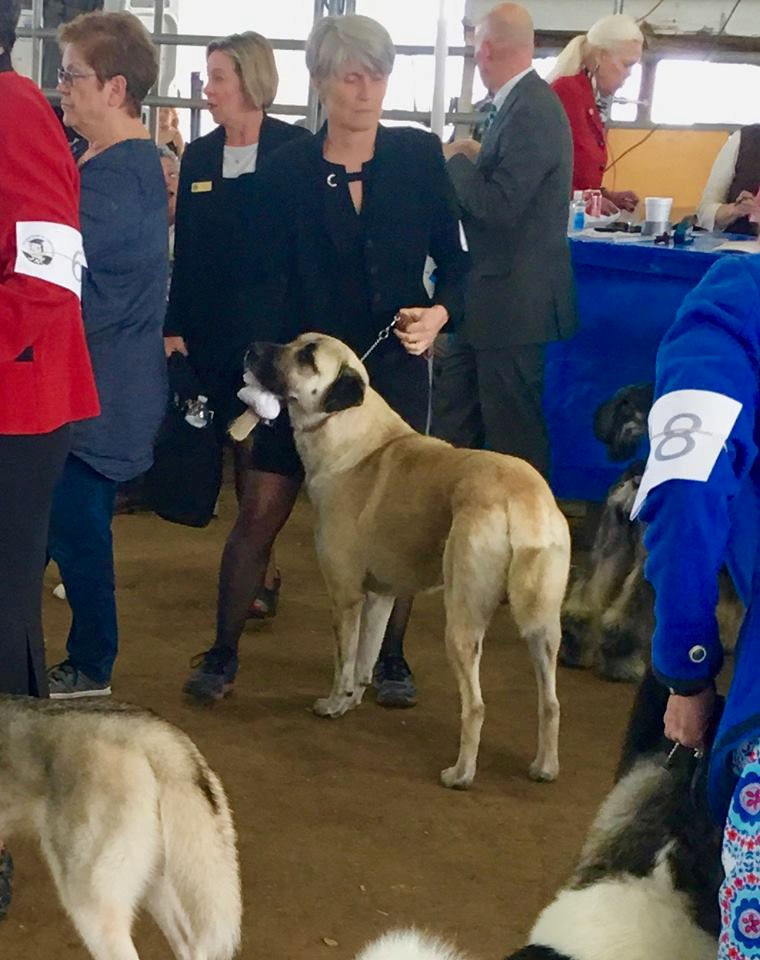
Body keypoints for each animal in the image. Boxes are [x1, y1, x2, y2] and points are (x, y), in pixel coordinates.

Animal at [249, 336, 568, 788]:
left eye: (307, 357)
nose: (252, 347)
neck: (348, 430)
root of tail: (522, 498)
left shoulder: (345, 597)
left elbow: (343, 661)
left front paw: (332, 705)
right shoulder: (380, 596)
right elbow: (364, 661)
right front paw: (351, 702)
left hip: (463, 621)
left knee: (475, 706)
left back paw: (460, 774)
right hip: (544, 628)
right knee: (551, 702)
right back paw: (545, 766)